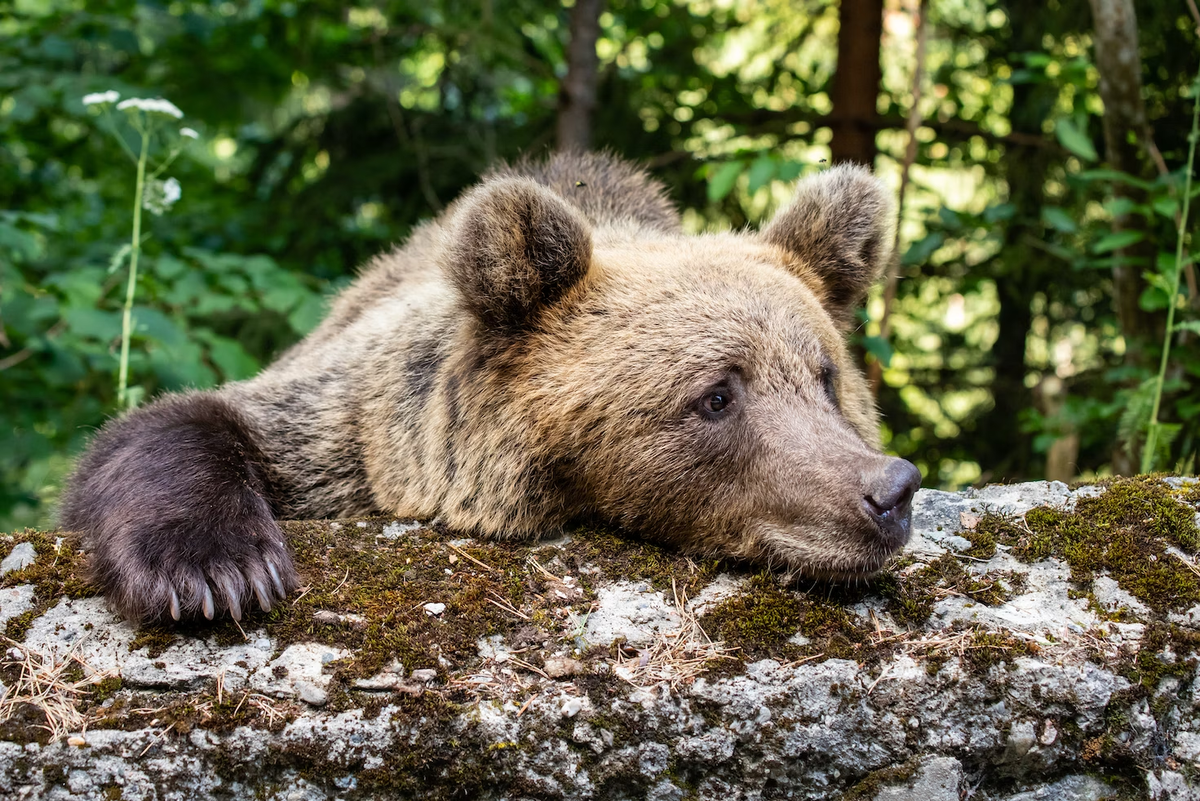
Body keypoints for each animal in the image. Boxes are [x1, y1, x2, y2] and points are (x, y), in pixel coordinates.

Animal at [58, 151, 916, 623]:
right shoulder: (355, 435)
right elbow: (184, 424)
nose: (888, 490)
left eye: (824, 378)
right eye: (717, 394)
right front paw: (216, 570)